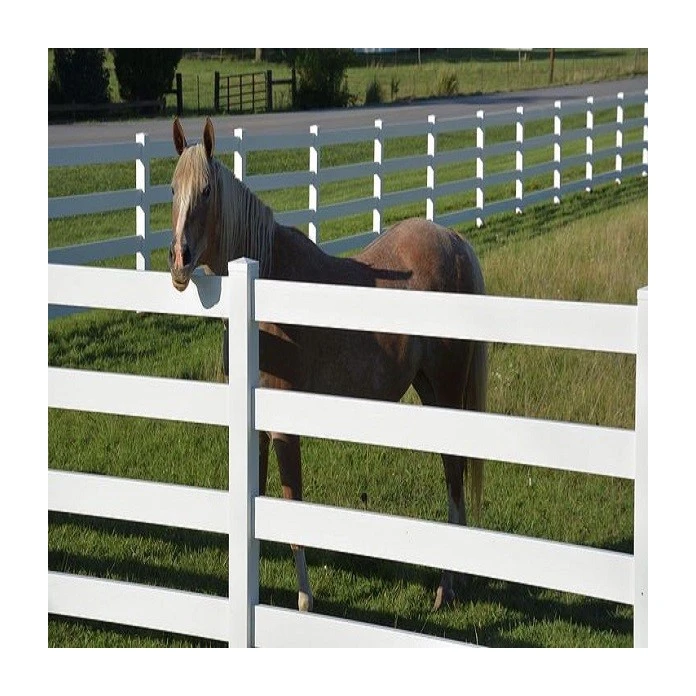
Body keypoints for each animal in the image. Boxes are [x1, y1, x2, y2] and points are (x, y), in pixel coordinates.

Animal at [168, 117, 488, 612]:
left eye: (205, 191)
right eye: (171, 189)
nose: (180, 261)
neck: (266, 283)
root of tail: (454, 243)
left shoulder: (285, 429)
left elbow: (291, 512)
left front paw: (304, 602)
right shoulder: (257, 430)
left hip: (450, 388)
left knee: (455, 473)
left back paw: (446, 587)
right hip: (430, 389)